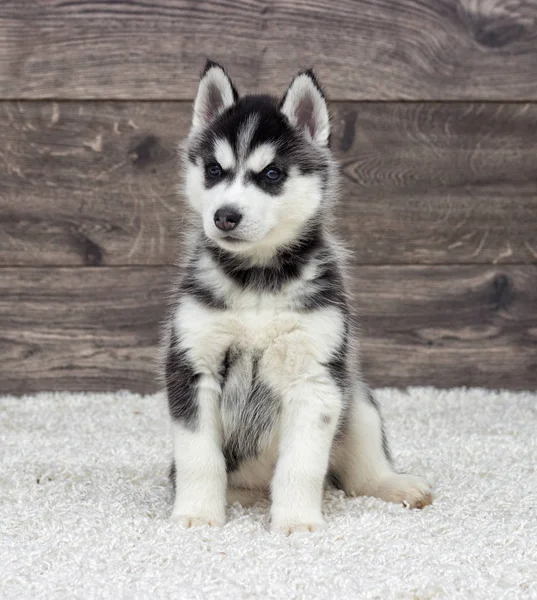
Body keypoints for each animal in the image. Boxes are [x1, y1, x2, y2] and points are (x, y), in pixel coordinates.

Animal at [163, 61, 432, 532]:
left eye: (272, 174)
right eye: (214, 170)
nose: (225, 216)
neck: (257, 280)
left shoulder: (316, 378)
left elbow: (302, 463)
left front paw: (297, 522)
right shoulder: (192, 368)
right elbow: (200, 457)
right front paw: (196, 513)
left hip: (356, 398)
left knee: (360, 473)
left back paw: (395, 485)